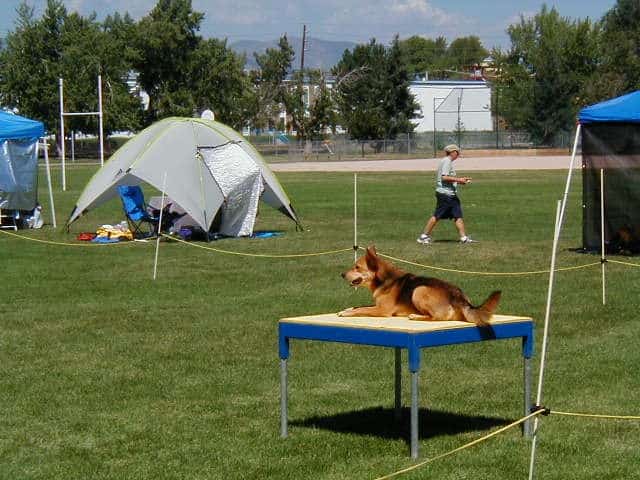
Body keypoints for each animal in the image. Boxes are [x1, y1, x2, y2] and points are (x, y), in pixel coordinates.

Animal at [338, 244, 502, 326]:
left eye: (357, 267)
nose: (342, 275)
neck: (384, 279)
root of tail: (458, 296)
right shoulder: (377, 305)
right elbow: (360, 306)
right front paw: (347, 308)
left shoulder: (382, 310)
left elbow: (362, 309)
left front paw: (346, 313)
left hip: (419, 290)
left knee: (437, 318)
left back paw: (415, 316)